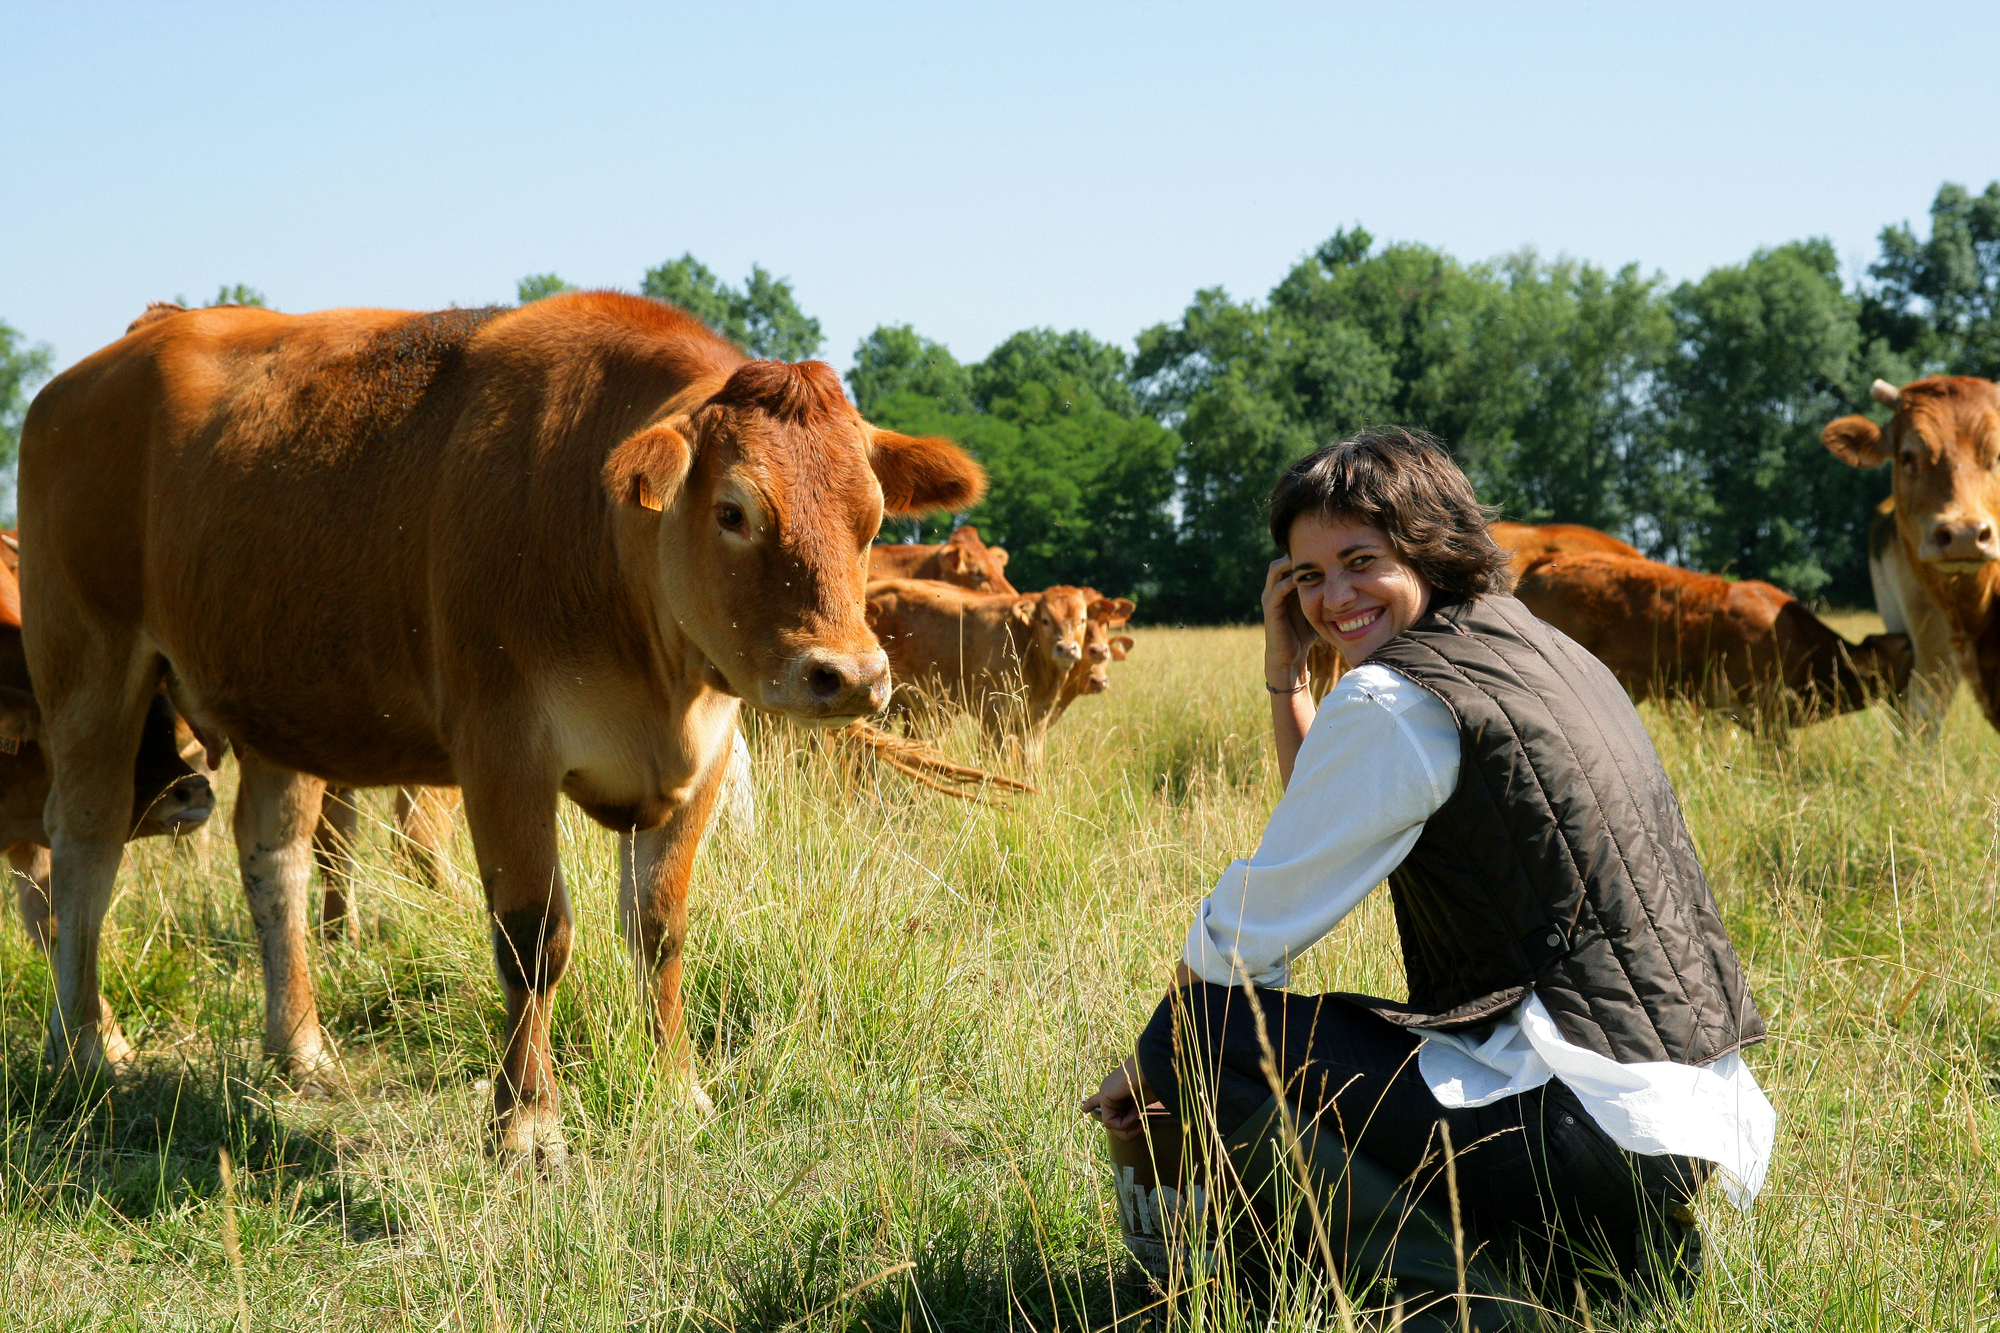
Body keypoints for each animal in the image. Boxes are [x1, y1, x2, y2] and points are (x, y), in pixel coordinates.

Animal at [15, 294, 984, 1160]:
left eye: (870, 519)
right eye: (734, 510)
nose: (849, 675)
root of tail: (105, 363)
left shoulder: (705, 756)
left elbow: (660, 930)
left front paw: (678, 1090)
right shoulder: (502, 749)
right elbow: (532, 937)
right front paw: (527, 1123)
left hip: (274, 699)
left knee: (274, 856)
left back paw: (300, 1047)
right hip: (89, 667)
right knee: (83, 853)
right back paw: (85, 1046)